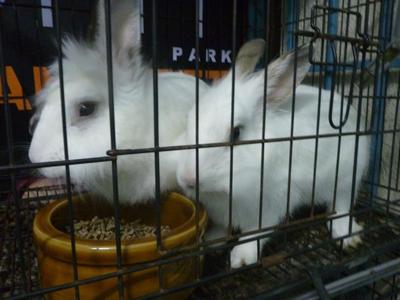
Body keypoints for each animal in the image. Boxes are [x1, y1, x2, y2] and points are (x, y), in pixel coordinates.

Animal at [177, 39, 370, 268]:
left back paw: (348, 238)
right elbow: (223, 228)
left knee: (340, 208)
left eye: (236, 132)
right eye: (189, 120)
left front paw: (242, 258)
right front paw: (211, 241)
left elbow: (255, 233)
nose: (187, 179)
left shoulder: (271, 204)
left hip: (346, 177)